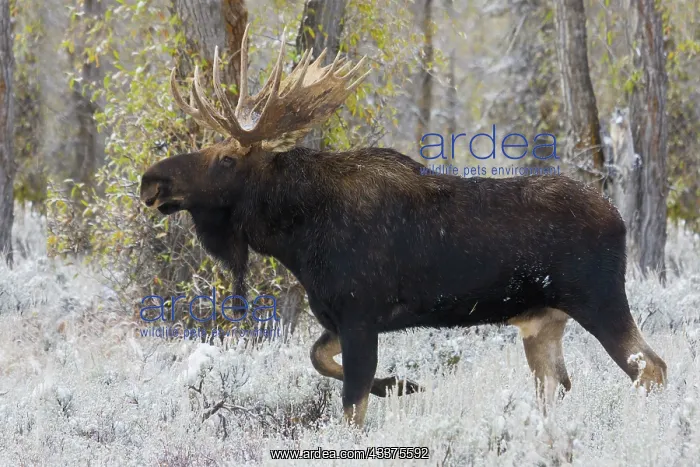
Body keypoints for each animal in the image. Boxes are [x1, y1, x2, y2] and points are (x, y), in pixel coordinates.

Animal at [140, 24, 667, 427]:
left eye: (226, 158)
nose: (151, 181)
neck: (297, 238)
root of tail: (619, 217)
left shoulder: (359, 313)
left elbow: (351, 408)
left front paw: (393, 388)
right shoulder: (338, 318)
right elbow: (319, 359)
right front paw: (403, 384)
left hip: (599, 298)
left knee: (651, 368)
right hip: (543, 320)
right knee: (558, 384)